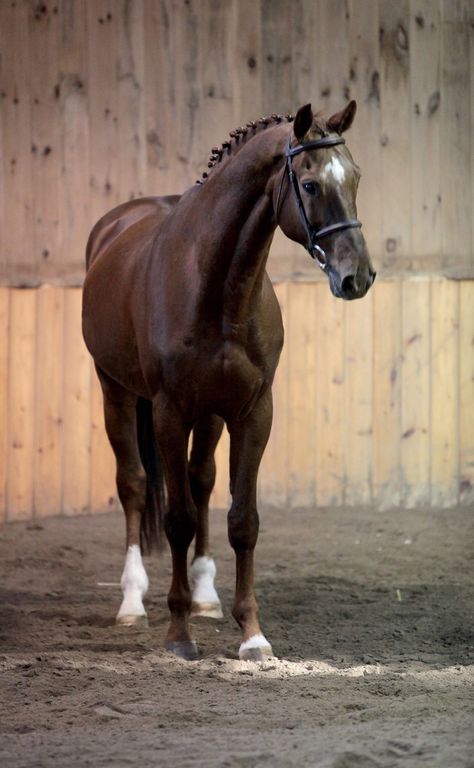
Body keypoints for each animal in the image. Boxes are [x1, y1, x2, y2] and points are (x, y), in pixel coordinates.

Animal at [83, 99, 376, 660]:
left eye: (354, 177)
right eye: (310, 185)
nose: (358, 277)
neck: (218, 285)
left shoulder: (251, 411)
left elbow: (242, 520)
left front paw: (251, 635)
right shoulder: (170, 411)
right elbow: (176, 519)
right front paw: (179, 635)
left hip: (210, 414)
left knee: (201, 481)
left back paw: (203, 595)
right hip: (117, 392)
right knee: (134, 484)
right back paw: (132, 602)